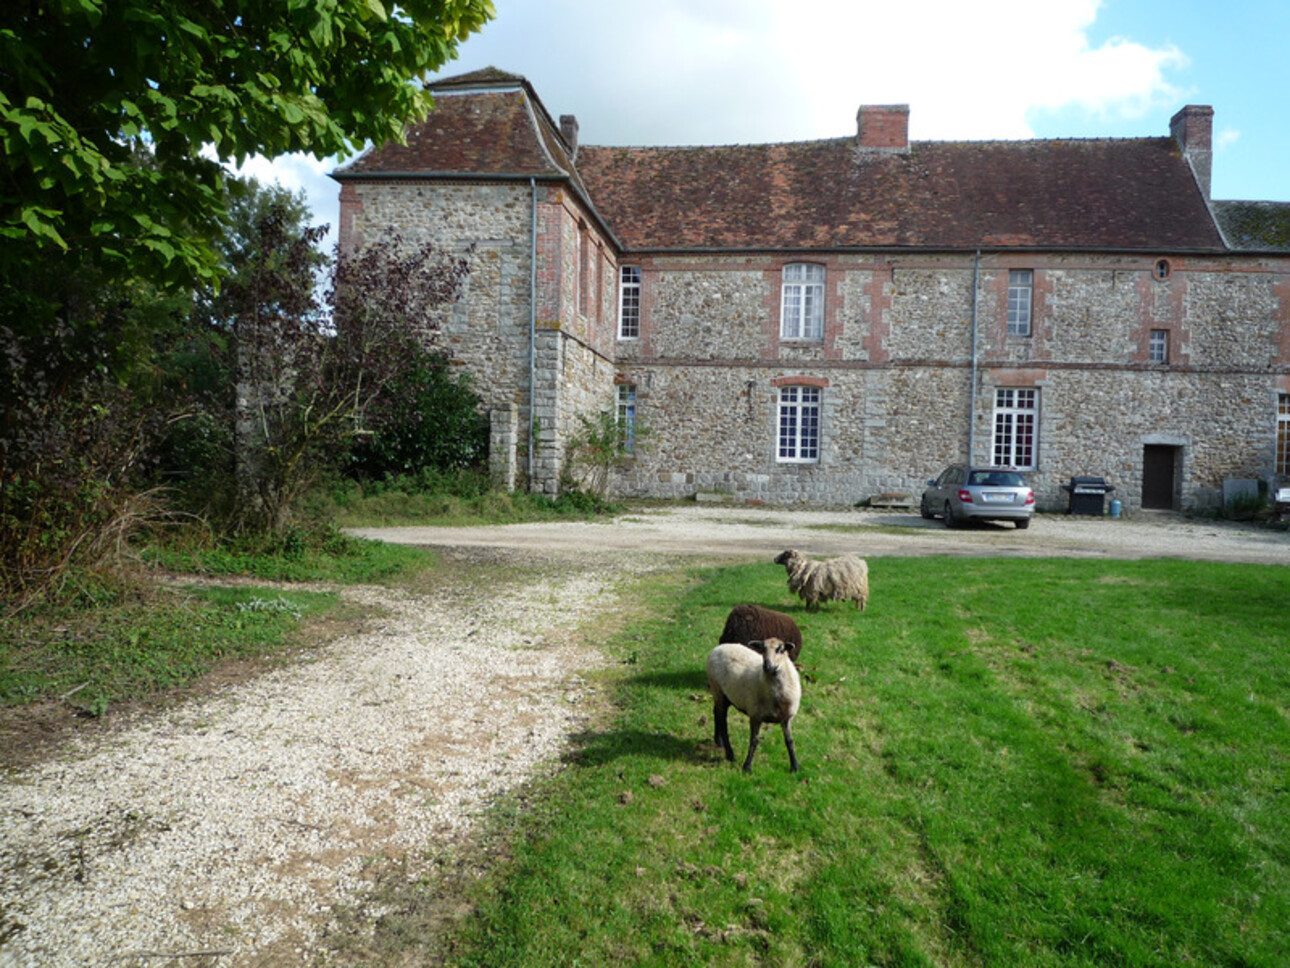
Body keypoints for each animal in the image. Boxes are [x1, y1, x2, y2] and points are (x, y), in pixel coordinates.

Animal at [706, 637, 794, 774]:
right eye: (762, 649)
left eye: (781, 649)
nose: (767, 666)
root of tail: (718, 648)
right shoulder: (755, 715)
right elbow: (754, 741)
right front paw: (747, 767)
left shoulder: (786, 717)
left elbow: (789, 741)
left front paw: (795, 767)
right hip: (717, 689)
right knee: (723, 722)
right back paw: (730, 754)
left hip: (724, 695)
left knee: (716, 713)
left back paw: (718, 741)